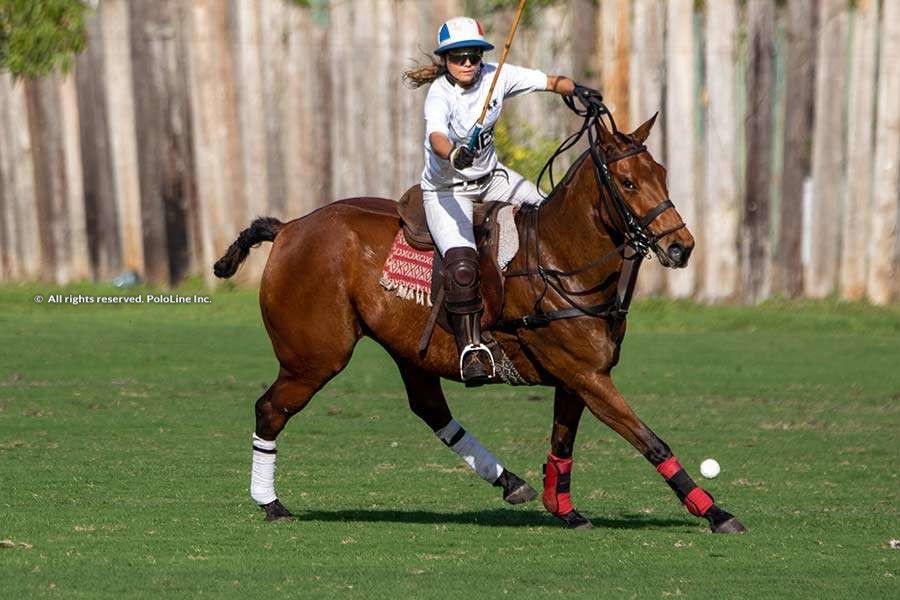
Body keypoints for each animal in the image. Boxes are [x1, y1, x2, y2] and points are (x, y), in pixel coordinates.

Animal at [216, 98, 744, 536]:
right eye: (628, 182)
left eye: (663, 175)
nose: (681, 247)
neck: (560, 259)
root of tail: (289, 228)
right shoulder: (585, 374)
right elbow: (650, 440)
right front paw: (716, 512)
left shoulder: (578, 377)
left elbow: (563, 443)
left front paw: (563, 508)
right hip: (315, 356)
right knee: (270, 409)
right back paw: (271, 503)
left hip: (408, 350)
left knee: (432, 410)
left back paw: (511, 481)